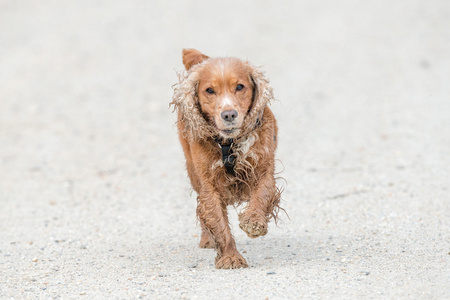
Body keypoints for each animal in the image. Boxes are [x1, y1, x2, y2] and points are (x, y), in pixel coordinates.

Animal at [171, 49, 282, 270]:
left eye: (240, 87)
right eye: (209, 90)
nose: (229, 114)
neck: (230, 143)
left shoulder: (264, 169)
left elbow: (262, 195)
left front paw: (254, 221)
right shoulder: (209, 184)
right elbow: (217, 220)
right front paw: (230, 256)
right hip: (193, 173)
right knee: (201, 209)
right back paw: (207, 239)